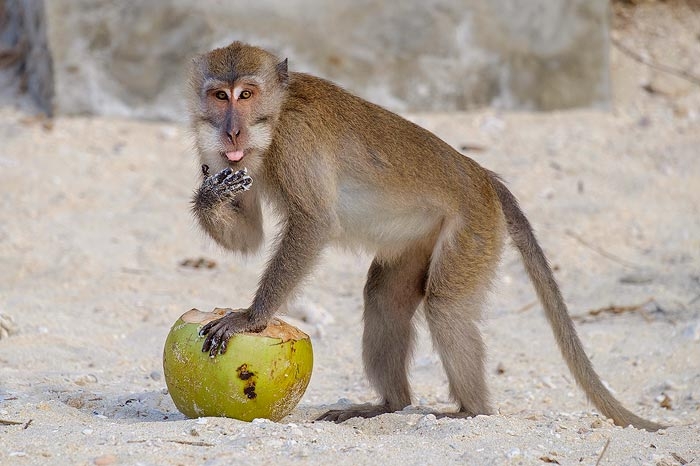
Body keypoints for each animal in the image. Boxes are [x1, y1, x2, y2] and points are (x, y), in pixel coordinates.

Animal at [189, 41, 664, 432]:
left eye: (246, 94)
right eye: (220, 96)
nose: (232, 131)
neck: (276, 116)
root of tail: (484, 177)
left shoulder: (297, 141)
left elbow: (314, 224)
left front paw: (250, 318)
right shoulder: (223, 155)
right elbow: (250, 236)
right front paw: (211, 194)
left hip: (472, 229)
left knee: (446, 306)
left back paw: (472, 411)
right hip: (417, 241)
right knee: (384, 298)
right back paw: (389, 404)